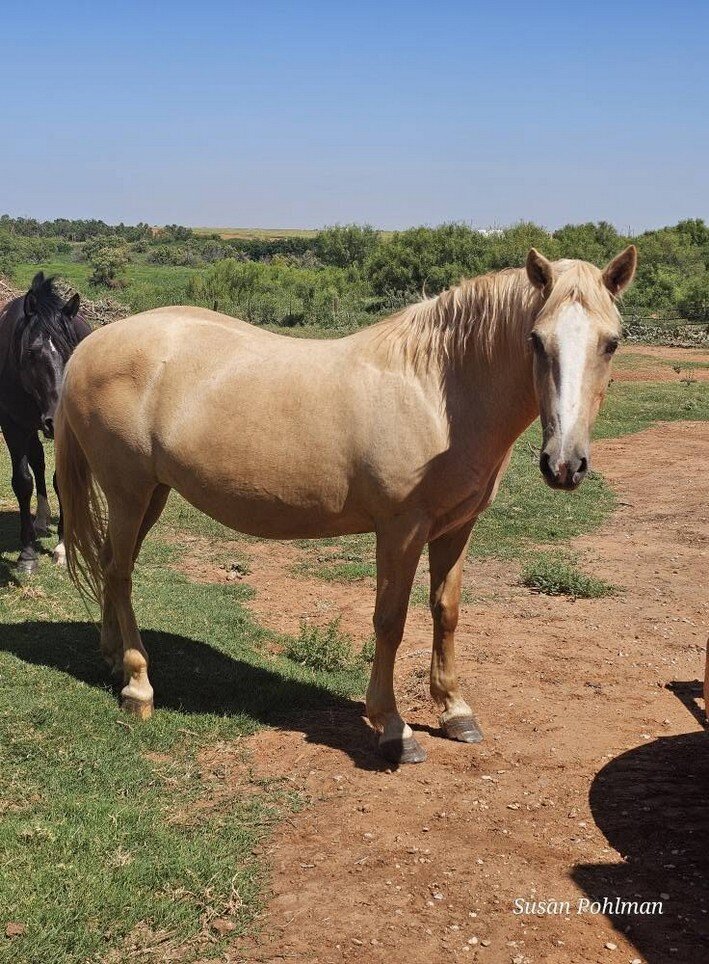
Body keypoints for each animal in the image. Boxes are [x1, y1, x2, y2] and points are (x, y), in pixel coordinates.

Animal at [0, 273, 90, 572]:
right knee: (37, 462)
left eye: (73, 350)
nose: (58, 416)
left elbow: (61, 479)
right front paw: (27, 554)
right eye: (31, 353)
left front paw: (63, 546)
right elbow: (23, 481)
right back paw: (40, 518)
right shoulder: (13, 427)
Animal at [56, 246, 636, 764]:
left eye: (611, 343)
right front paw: (393, 729)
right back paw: (138, 685)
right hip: (128, 491)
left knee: (110, 566)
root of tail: (90, 347)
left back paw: (113, 661)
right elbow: (390, 620)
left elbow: (445, 612)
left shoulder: (457, 527)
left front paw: (454, 710)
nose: (564, 464)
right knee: (121, 574)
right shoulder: (401, 530)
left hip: (152, 494)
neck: (436, 391)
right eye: (536, 340)